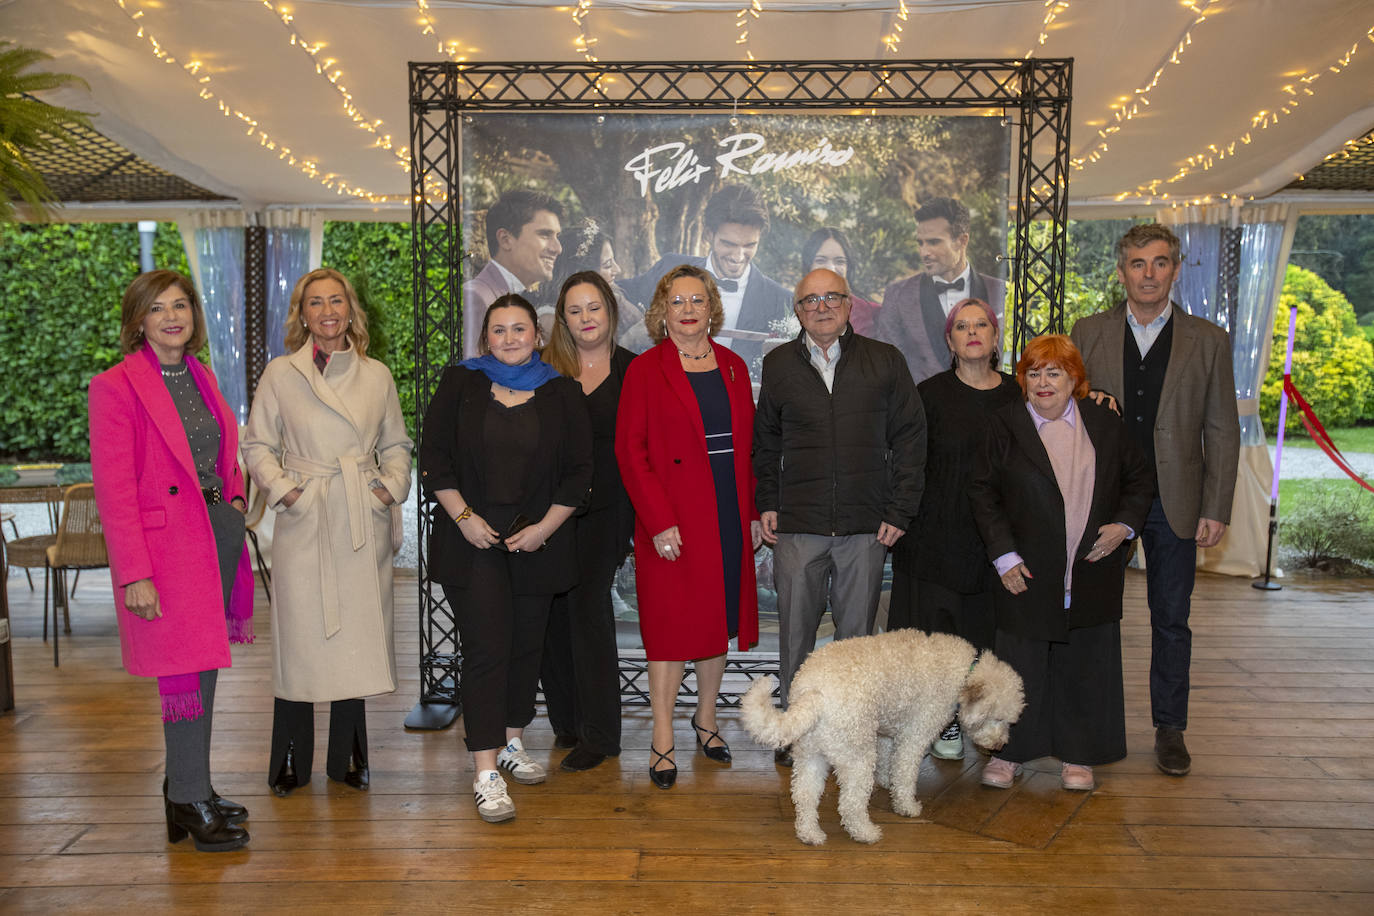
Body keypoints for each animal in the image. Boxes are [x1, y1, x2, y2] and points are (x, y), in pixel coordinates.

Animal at [741, 631, 1022, 845]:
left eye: (1008, 721)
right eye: (997, 718)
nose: (1000, 745)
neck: (963, 672)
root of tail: (813, 694)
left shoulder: (886, 731)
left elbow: (889, 758)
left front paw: (887, 780)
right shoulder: (914, 736)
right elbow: (905, 773)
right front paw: (906, 806)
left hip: (811, 755)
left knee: (805, 795)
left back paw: (810, 834)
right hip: (858, 758)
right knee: (850, 803)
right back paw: (866, 833)